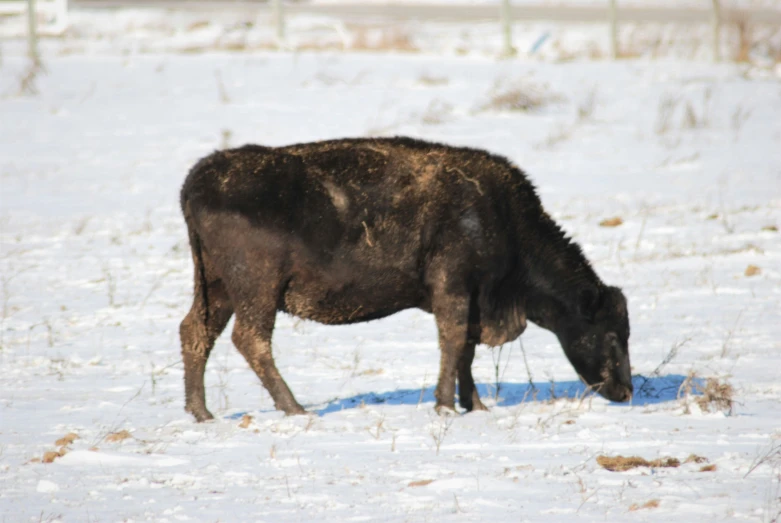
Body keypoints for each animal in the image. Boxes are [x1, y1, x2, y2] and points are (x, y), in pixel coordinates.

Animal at [177, 137, 628, 424]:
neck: (502, 216)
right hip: (257, 290)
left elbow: (465, 351)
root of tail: (199, 178)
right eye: (610, 333)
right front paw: (446, 405)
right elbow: (454, 342)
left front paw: (475, 406)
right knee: (250, 340)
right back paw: (295, 408)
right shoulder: (453, 288)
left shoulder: (471, 299)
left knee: (196, 331)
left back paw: (202, 413)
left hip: (218, 289)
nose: (625, 391)